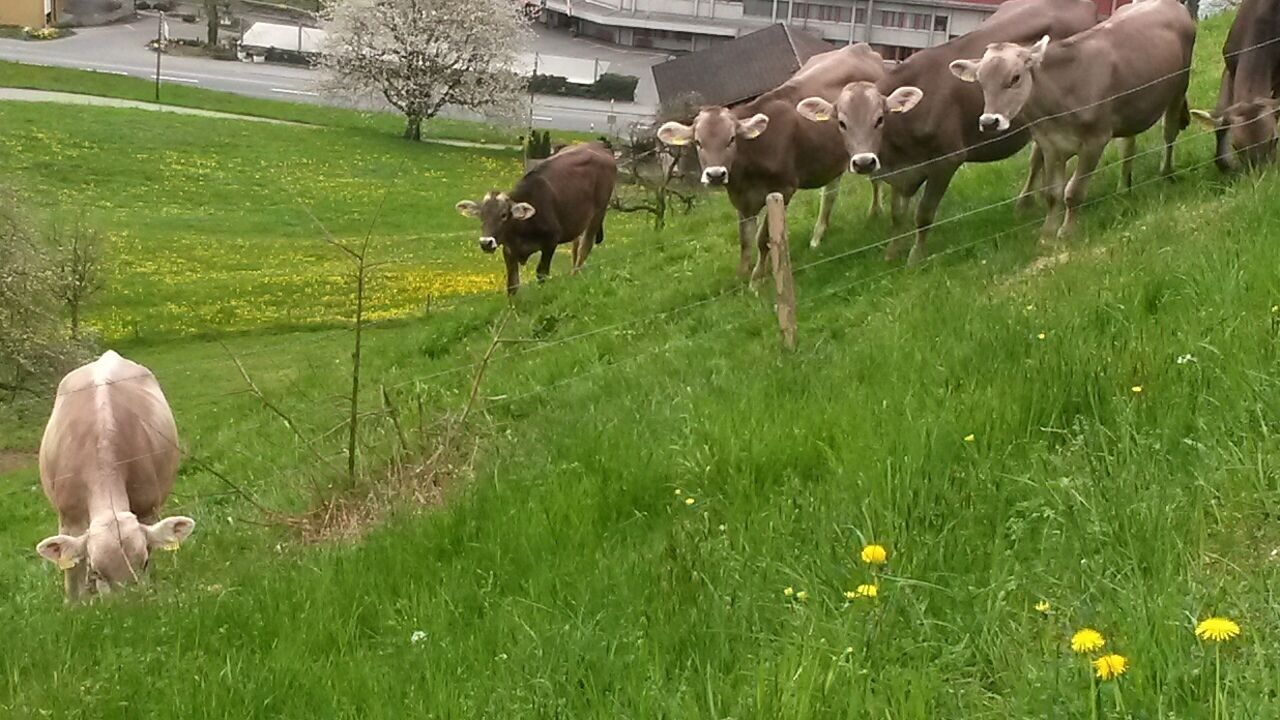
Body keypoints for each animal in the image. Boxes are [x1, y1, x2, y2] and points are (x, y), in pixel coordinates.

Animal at [35, 351, 195, 602]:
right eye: (97, 572)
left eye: (144, 563)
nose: (129, 604)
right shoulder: (69, 517)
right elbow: (72, 573)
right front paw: (75, 603)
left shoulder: (147, 509)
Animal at [456, 142, 616, 295]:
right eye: (481, 215)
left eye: (504, 215)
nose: (486, 243)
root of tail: (600, 146)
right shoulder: (508, 249)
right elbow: (512, 284)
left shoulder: (550, 242)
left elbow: (542, 273)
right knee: (576, 246)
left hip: (599, 212)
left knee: (585, 247)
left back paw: (575, 275)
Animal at [655, 43, 886, 283]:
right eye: (699, 142)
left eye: (731, 139)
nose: (716, 174)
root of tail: (859, 47)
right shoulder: (742, 199)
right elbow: (745, 240)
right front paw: (742, 275)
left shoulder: (783, 190)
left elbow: (763, 238)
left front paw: (757, 279)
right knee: (830, 194)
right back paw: (817, 236)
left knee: (875, 179)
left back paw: (875, 212)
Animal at [795, 0, 1097, 265]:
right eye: (841, 123)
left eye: (879, 119)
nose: (863, 162)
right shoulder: (900, 173)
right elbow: (897, 215)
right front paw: (891, 254)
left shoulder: (946, 161)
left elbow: (923, 214)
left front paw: (915, 257)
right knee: (1038, 158)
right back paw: (1024, 204)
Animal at [951, 0, 1195, 240]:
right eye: (981, 81)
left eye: (1015, 78)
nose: (989, 122)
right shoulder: (1050, 144)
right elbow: (1052, 193)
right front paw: (1047, 234)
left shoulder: (1095, 141)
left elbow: (1073, 191)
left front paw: (1067, 232)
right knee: (1128, 144)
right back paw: (1124, 188)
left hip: (1179, 87)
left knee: (1169, 132)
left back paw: (1166, 173)